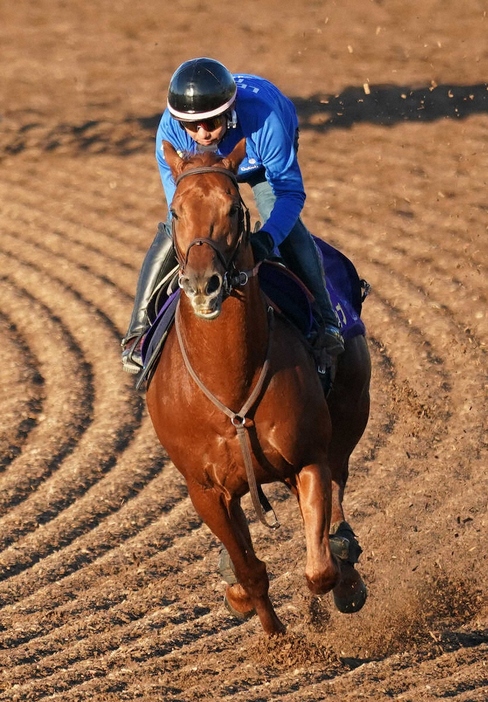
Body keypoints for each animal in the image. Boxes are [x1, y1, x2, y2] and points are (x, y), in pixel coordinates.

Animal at [145, 139, 370, 640]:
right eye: (174, 210)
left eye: (233, 208)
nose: (202, 284)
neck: (229, 384)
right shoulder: (205, 490)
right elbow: (250, 570)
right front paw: (276, 637)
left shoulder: (308, 458)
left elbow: (319, 568)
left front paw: (334, 591)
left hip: (349, 415)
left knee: (339, 495)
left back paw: (347, 565)